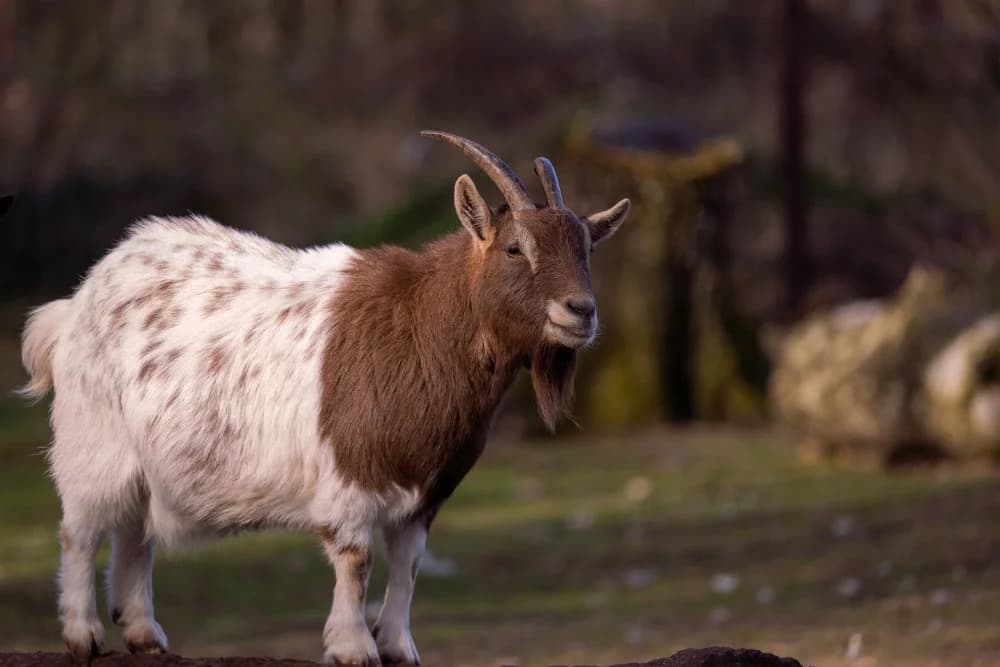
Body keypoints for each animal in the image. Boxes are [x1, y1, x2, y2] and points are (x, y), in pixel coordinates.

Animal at [20, 131, 630, 666]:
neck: (422, 327)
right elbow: (356, 561)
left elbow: (409, 564)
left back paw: (144, 634)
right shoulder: (351, 477)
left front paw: (398, 647)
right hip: (94, 441)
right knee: (80, 529)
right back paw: (84, 636)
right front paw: (354, 648)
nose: (581, 311)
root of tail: (77, 305)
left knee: (134, 531)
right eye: (513, 247)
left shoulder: (429, 487)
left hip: (145, 460)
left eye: (587, 250)